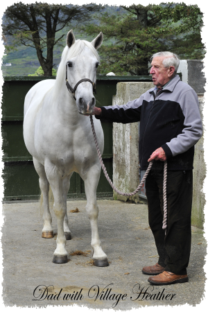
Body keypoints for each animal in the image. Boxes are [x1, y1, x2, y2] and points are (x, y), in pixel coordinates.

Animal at [23, 30, 109, 266]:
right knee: (46, 189)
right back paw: (47, 229)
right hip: (40, 166)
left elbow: (92, 209)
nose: (86, 102)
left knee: (63, 190)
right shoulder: (52, 168)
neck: (70, 123)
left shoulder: (92, 168)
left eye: (96, 64)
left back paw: (68, 230)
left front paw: (99, 253)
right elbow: (59, 208)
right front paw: (60, 251)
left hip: (68, 171)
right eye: (70, 63)